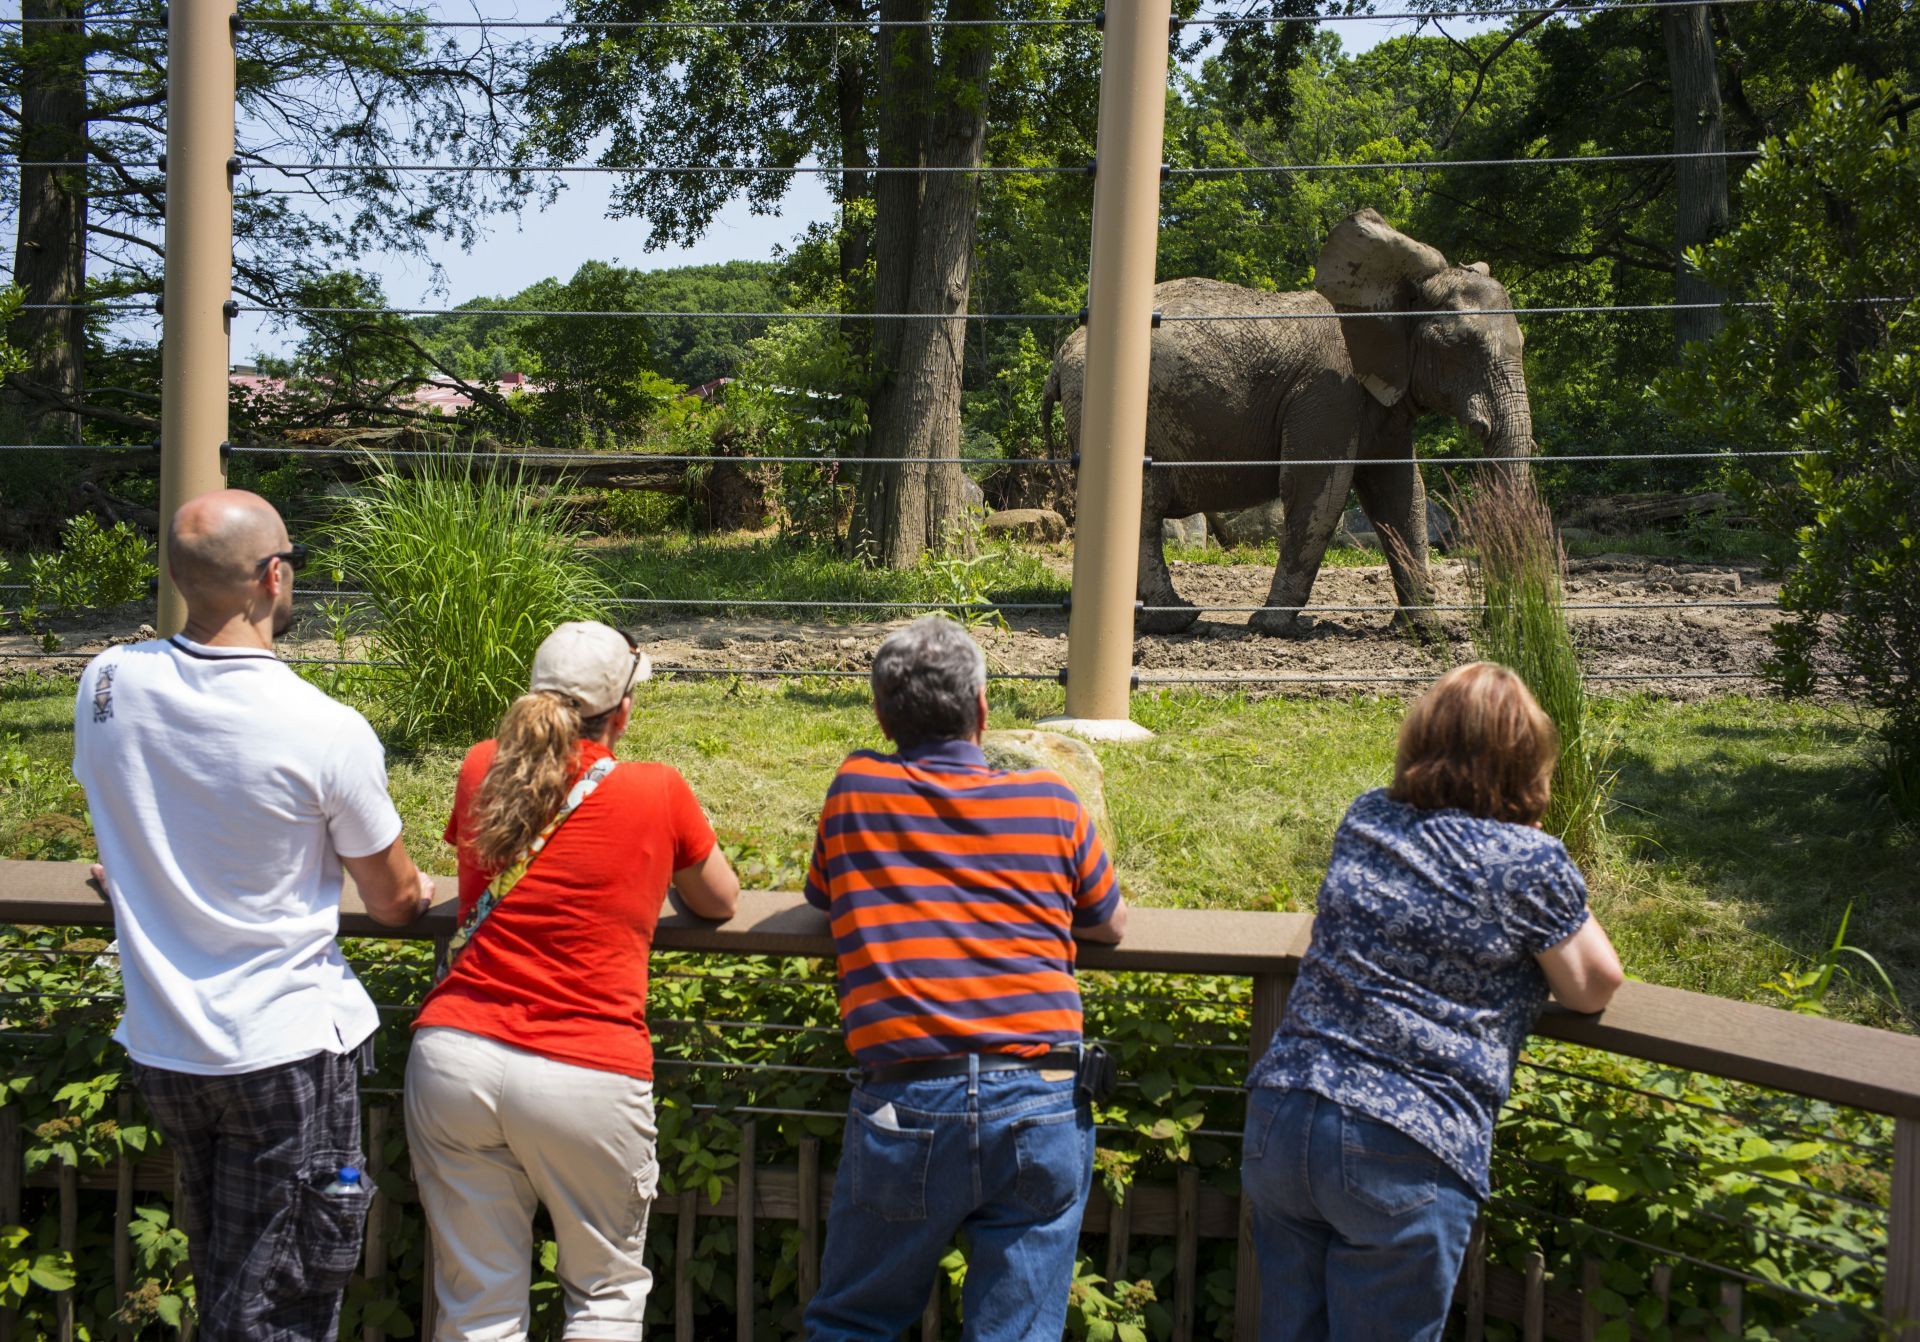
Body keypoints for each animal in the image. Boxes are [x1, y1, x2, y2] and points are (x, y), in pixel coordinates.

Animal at [1044, 207, 1536, 637]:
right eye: (1459, 344)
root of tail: (1063, 351)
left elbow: (1399, 493)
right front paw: (1272, 626)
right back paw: (1177, 620)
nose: (1489, 623)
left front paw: (1428, 631)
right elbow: (1319, 487)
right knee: (1144, 503)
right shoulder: (1330, 387)